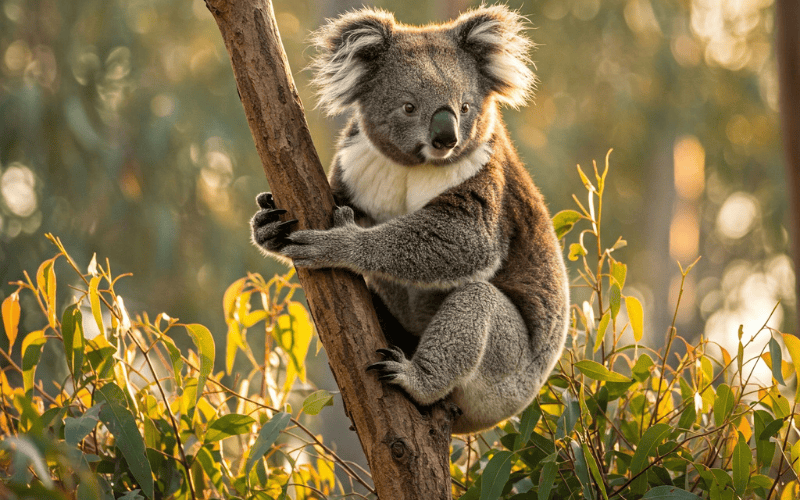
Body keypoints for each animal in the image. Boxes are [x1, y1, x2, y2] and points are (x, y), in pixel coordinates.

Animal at [251, 5, 569, 434]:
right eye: (408, 106)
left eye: (465, 107)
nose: (446, 138)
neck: (413, 166)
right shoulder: (357, 163)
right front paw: (267, 224)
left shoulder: (485, 175)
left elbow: (467, 240)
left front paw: (336, 244)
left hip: (507, 373)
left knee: (477, 302)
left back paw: (412, 377)